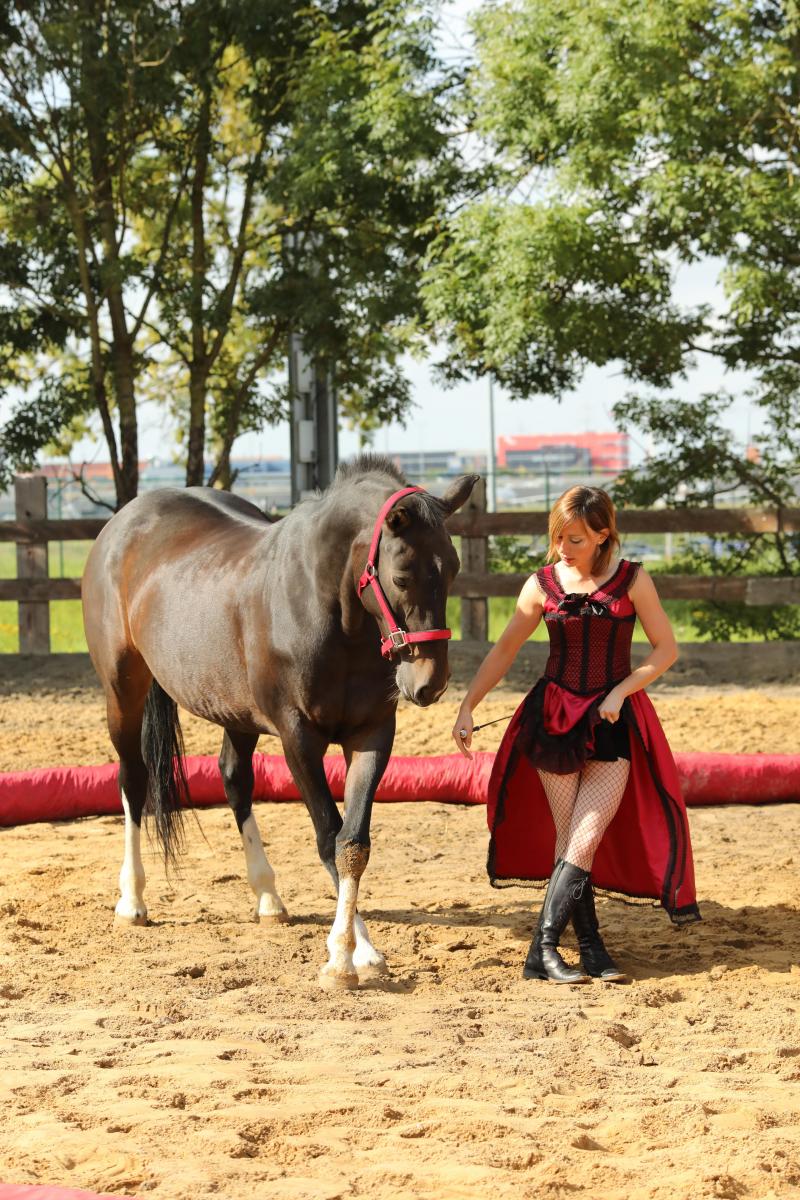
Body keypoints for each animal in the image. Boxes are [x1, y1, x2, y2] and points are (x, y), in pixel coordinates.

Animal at [82, 453, 474, 988]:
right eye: (402, 576)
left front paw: (358, 951)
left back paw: (268, 896)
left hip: (235, 713)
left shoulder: (372, 735)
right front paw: (346, 955)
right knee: (133, 780)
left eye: (453, 569)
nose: (428, 683)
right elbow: (329, 838)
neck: (331, 612)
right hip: (122, 690)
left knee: (234, 779)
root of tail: (125, 520)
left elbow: (353, 843)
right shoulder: (298, 740)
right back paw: (133, 900)